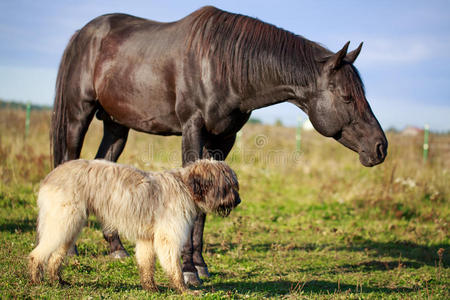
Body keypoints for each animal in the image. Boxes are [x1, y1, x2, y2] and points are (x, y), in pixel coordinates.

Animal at [29, 159, 241, 292]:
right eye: (227, 186)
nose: (238, 200)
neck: (186, 186)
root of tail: (50, 176)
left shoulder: (147, 238)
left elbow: (146, 264)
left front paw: (151, 288)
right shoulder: (168, 237)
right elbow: (174, 266)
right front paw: (184, 289)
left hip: (69, 226)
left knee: (55, 256)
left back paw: (57, 281)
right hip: (63, 221)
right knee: (37, 254)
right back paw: (36, 280)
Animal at [51, 5, 386, 284]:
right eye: (347, 96)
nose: (380, 147)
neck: (219, 65)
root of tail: (83, 33)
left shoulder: (222, 139)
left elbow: (203, 207)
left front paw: (200, 266)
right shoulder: (193, 129)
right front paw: (187, 271)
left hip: (116, 125)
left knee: (102, 168)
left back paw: (116, 247)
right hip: (78, 115)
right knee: (68, 162)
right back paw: (69, 249)